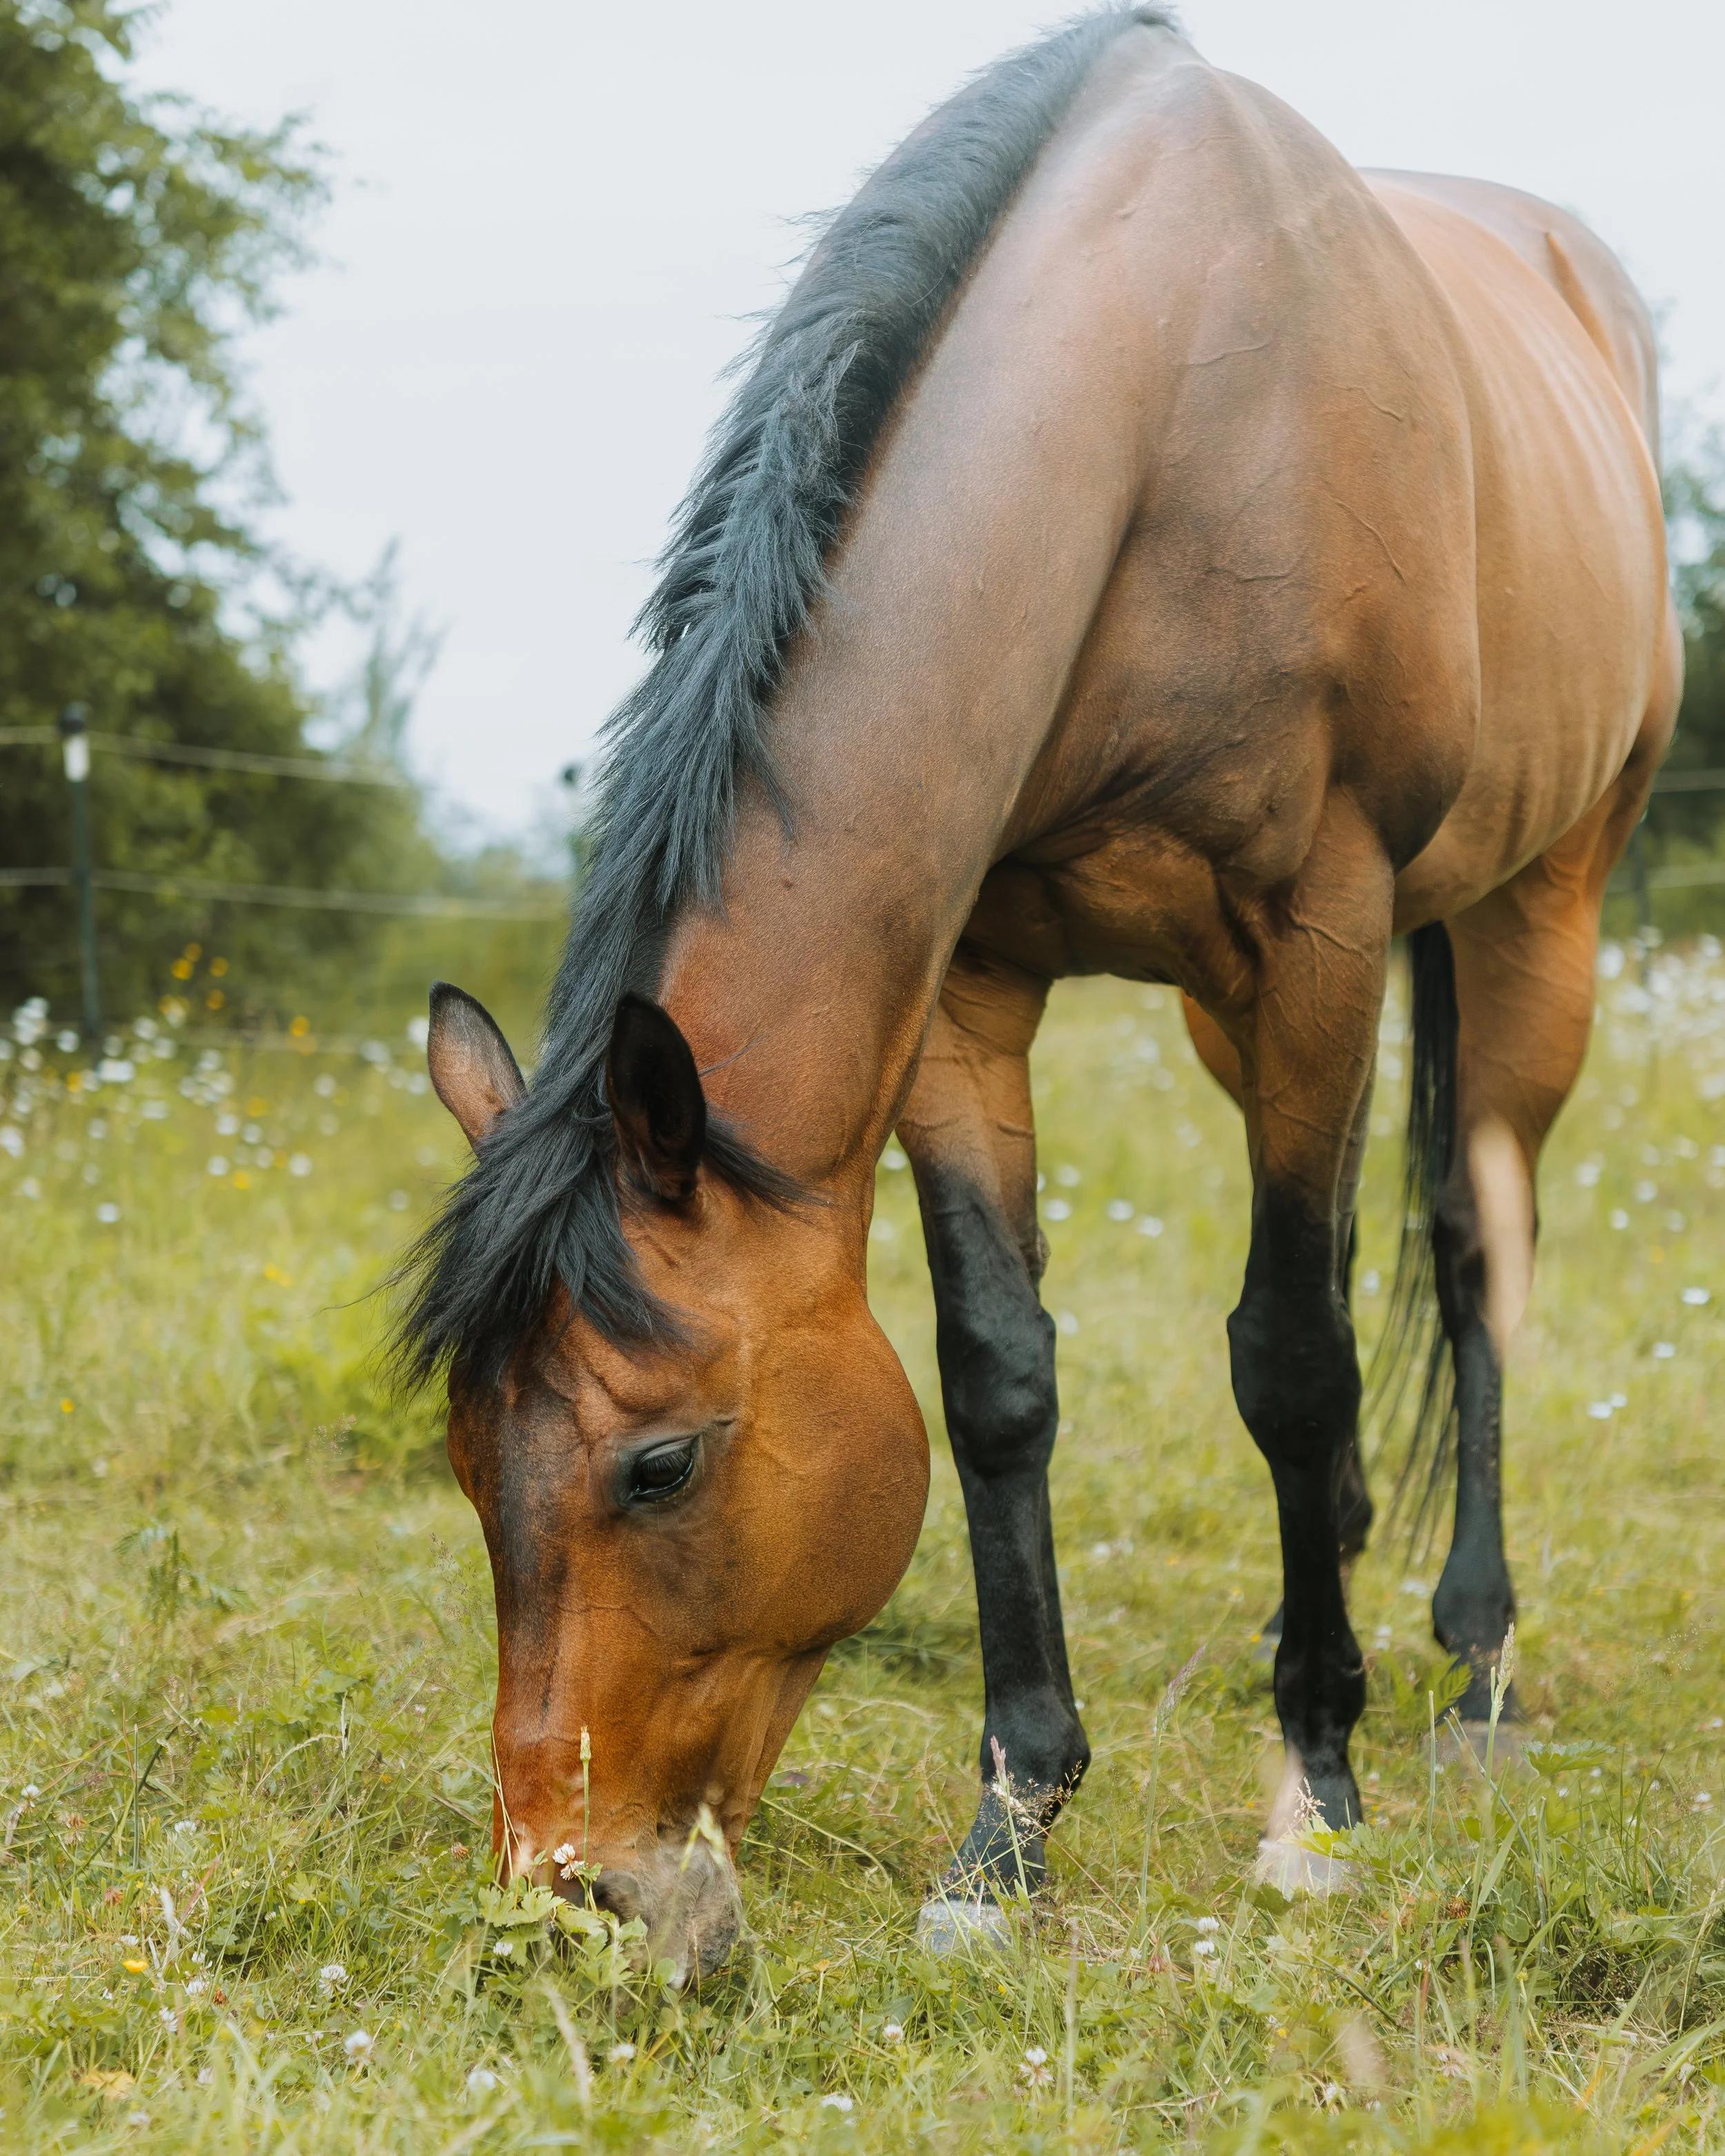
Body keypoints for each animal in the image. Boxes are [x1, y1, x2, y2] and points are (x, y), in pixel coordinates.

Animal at [400, 7, 1680, 1978]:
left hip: (1531, 914)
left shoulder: (1319, 931)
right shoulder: (974, 983)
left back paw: (1469, 1671)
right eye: (468, 1462)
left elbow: (1288, 1357)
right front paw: (1007, 1829)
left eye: (661, 1467)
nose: (576, 1893)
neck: (1167, 413)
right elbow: (999, 1372)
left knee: (1472, 1251)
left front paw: (1318, 1791)